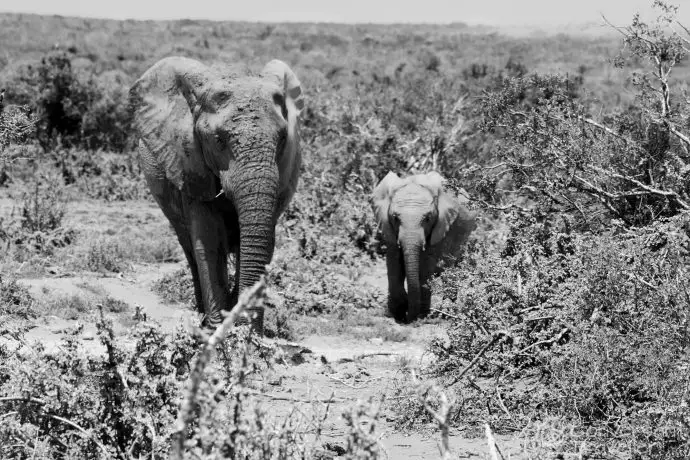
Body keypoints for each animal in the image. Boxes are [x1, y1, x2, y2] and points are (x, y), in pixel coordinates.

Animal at [129, 57, 300, 330]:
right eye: (218, 140)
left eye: (283, 138)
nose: (243, 323)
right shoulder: (189, 165)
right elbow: (208, 241)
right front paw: (218, 328)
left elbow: (260, 243)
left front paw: (246, 331)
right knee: (189, 246)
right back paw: (202, 315)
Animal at [370, 172, 472, 324]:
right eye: (395, 218)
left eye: (428, 218)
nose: (408, 319)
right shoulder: (389, 229)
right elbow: (394, 263)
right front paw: (398, 313)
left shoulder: (439, 227)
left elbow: (425, 265)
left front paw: (420, 316)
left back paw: (447, 312)